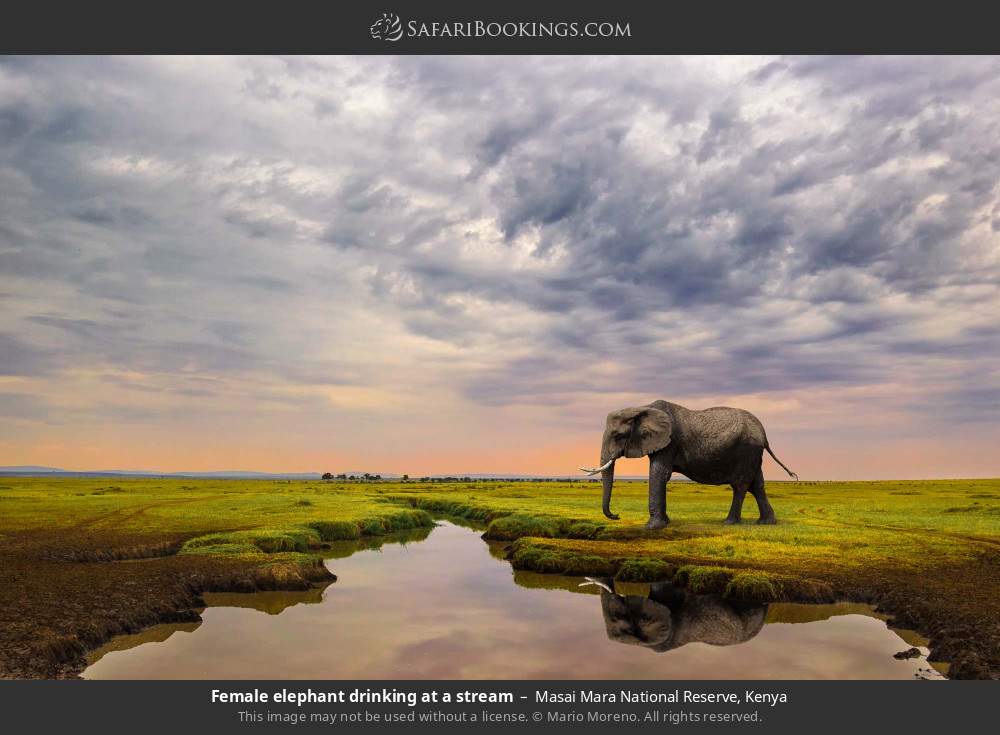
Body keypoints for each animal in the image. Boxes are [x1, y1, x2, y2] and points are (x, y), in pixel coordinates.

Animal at [580, 402, 796, 528]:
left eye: (618, 436)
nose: (617, 516)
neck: (640, 408)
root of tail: (764, 434)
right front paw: (665, 523)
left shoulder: (669, 441)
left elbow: (659, 473)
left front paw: (652, 527)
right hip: (753, 453)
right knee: (757, 484)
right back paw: (766, 523)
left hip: (746, 450)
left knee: (741, 485)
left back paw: (729, 522)